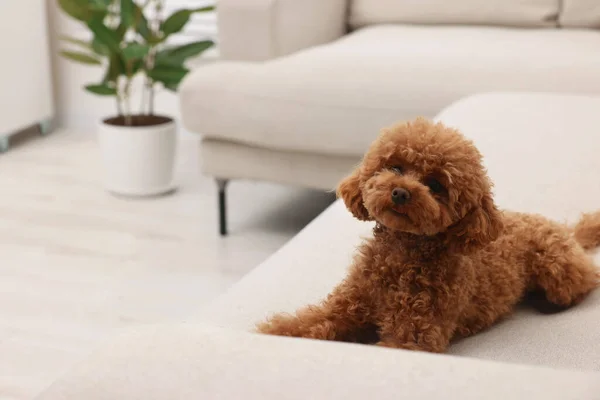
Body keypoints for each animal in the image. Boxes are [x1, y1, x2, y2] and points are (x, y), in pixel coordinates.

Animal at [256, 117, 600, 352]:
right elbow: (307, 322)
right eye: (395, 167)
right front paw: (272, 333)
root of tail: (562, 227)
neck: (400, 255)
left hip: (557, 269)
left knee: (586, 279)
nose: (400, 192)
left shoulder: (414, 335)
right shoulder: (345, 306)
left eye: (435, 185)